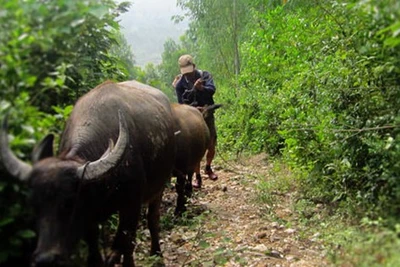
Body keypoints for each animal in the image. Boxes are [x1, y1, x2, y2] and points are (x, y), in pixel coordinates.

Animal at [0, 81, 177, 267]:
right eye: (33, 204)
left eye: (70, 202)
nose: (45, 259)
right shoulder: (89, 218)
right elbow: (94, 249)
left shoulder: (132, 204)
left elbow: (124, 242)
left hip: (158, 189)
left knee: (152, 219)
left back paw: (156, 253)